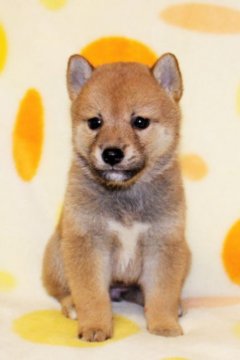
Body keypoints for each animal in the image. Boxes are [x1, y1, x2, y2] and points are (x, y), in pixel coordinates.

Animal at [41, 52, 191, 342]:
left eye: (140, 122)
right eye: (95, 122)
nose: (111, 154)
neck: (126, 195)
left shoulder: (163, 243)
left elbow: (162, 293)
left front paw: (164, 324)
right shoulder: (88, 243)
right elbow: (91, 295)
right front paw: (95, 327)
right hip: (57, 253)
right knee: (63, 292)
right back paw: (71, 305)